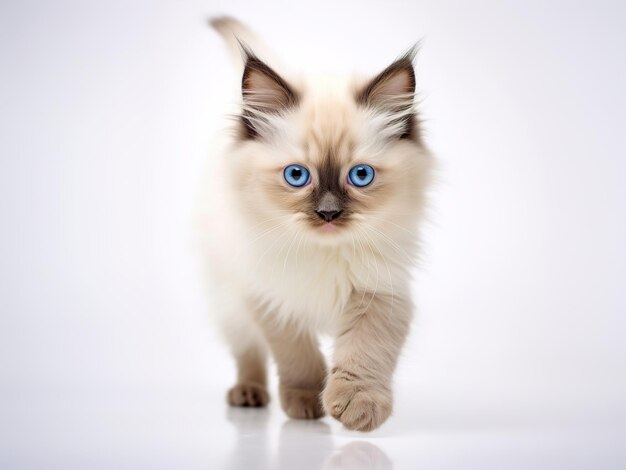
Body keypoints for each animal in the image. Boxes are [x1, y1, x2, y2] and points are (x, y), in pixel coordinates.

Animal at [197, 17, 432, 430]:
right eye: (296, 175)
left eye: (360, 175)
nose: (328, 213)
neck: (324, 253)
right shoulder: (272, 297)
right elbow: (299, 357)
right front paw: (306, 403)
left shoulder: (379, 292)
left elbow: (364, 354)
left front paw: (357, 408)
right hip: (230, 299)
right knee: (247, 351)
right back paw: (248, 394)